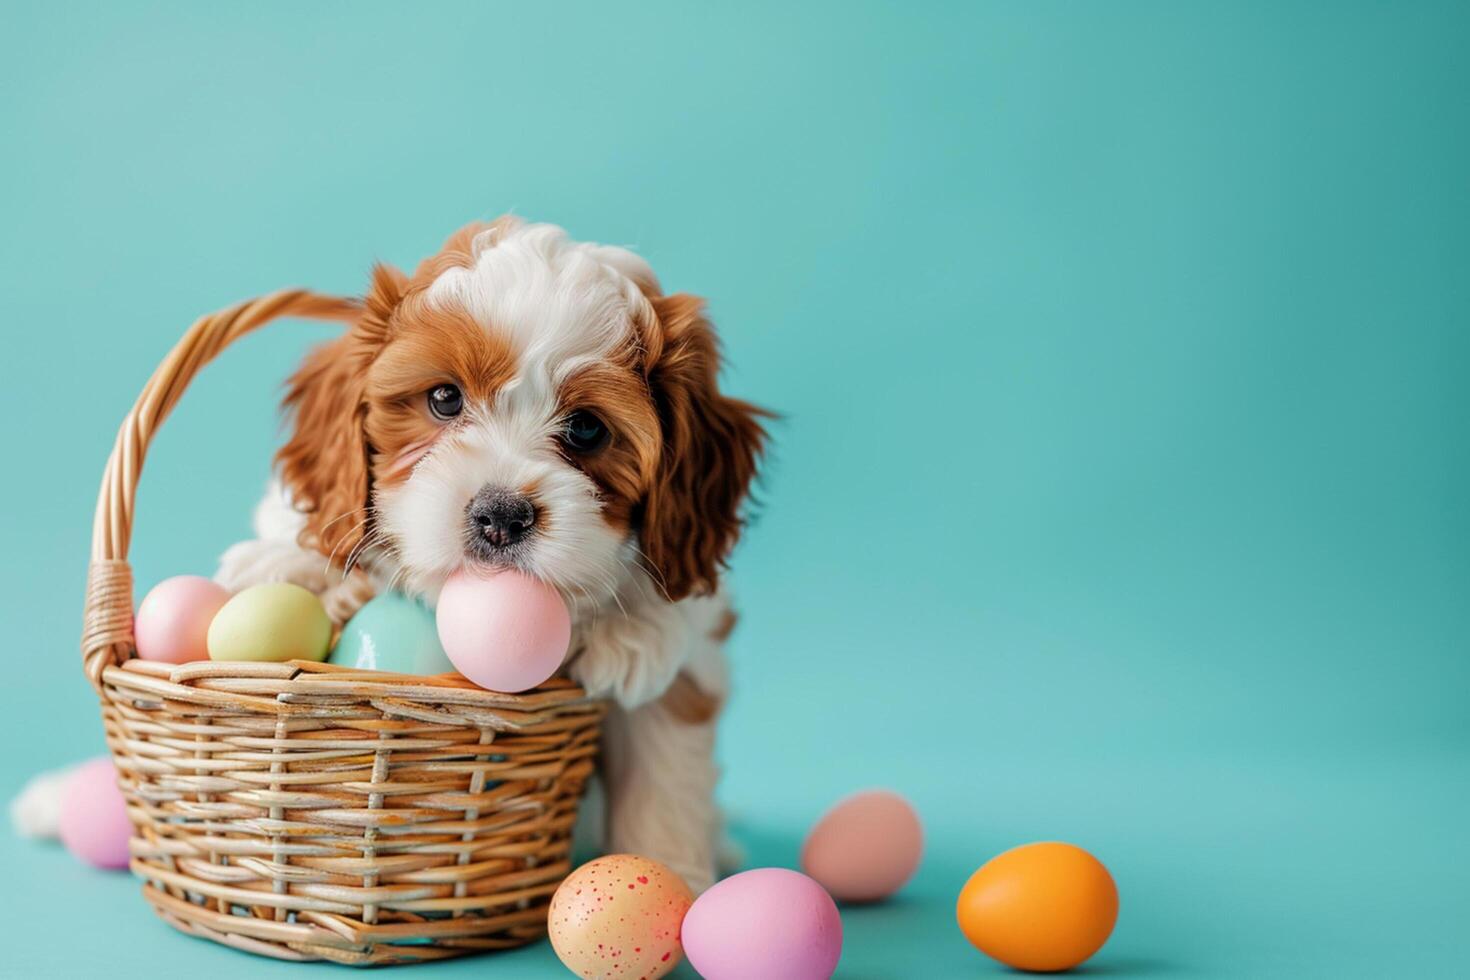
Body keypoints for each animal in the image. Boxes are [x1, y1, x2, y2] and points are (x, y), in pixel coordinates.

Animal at [217, 218, 770, 893]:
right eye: (445, 398)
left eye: (587, 428)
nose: (501, 515)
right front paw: (290, 566)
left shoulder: (686, 678)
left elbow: (664, 780)